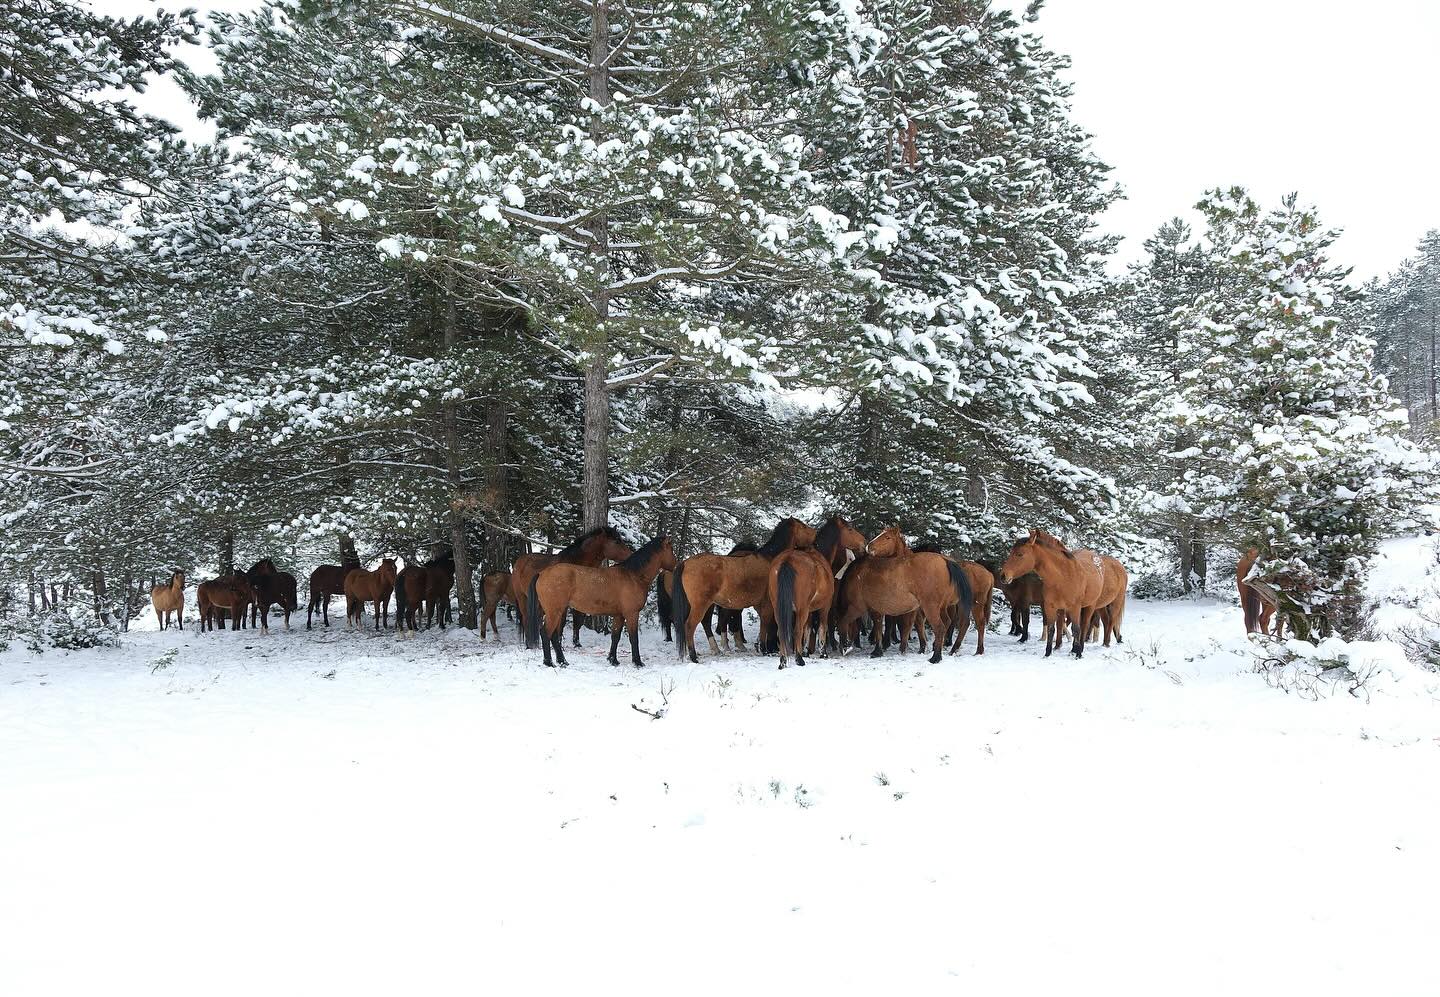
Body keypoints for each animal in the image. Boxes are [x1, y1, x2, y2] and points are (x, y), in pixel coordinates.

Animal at [527, 533, 676, 665]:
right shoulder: (632, 614)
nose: (676, 565)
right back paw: (549, 662)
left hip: (556, 611)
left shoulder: (619, 615)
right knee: (546, 634)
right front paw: (637, 662)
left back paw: (562, 661)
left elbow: (615, 637)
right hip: (554, 612)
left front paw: (613, 660)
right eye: (672, 549)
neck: (633, 576)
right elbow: (634, 639)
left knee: (553, 635)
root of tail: (542, 573)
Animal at [668, 512, 817, 662]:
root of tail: (685, 563)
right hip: (700, 605)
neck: (770, 558)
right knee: (690, 626)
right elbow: (766, 624)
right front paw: (765, 649)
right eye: (803, 526)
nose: (815, 534)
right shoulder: (768, 604)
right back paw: (694, 656)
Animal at [766, 518, 864, 665]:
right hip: (802, 609)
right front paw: (823, 653)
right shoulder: (824, 606)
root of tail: (788, 560)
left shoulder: (810, 609)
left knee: (781, 631)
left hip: (779, 607)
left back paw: (783, 661)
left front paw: (806, 651)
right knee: (797, 631)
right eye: (850, 529)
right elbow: (822, 628)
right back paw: (799, 659)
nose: (864, 541)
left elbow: (808, 628)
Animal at [840, 524, 979, 665]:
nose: (869, 546)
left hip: (932, 608)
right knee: (948, 623)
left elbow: (844, 622)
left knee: (941, 627)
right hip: (942, 607)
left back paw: (936, 657)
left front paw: (845, 646)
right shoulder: (878, 610)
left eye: (887, 537)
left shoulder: (858, 606)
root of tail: (945, 560)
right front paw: (879, 650)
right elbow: (881, 628)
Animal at [996, 530, 1128, 654]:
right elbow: (1052, 628)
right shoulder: (1051, 607)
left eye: (1020, 554)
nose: (1003, 576)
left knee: (1099, 623)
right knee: (1103, 622)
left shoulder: (1074, 608)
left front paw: (1077, 652)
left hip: (1102, 605)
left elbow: (1076, 629)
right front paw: (1048, 652)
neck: (1063, 577)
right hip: (1097, 607)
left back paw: (1100, 645)